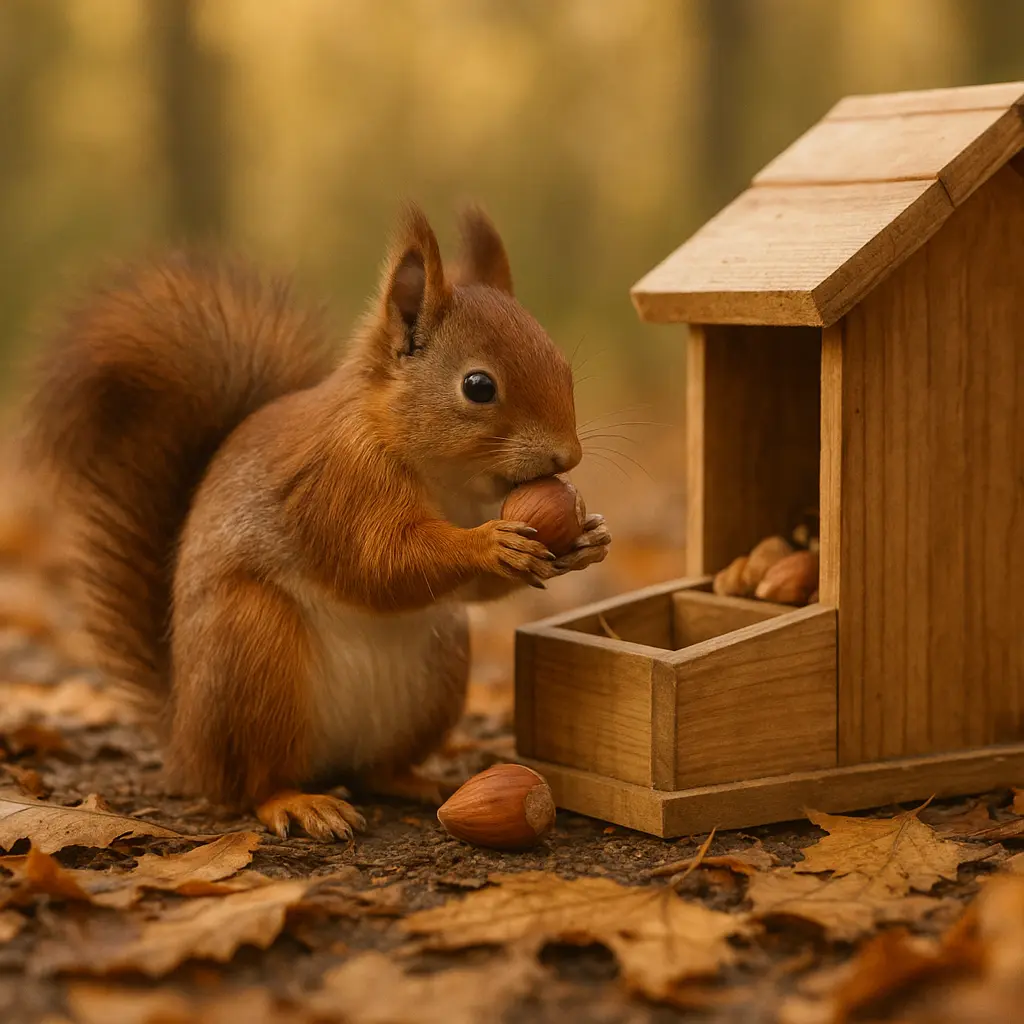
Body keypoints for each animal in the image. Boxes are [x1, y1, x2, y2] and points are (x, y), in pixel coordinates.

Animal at [25, 204, 611, 841]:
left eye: (563, 366)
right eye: (478, 386)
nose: (568, 458)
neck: (445, 477)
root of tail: (187, 741)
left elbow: (467, 589)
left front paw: (586, 540)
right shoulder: (337, 483)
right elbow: (380, 561)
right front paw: (488, 545)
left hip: (439, 666)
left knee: (371, 769)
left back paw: (416, 782)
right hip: (253, 650)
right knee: (254, 783)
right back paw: (299, 803)